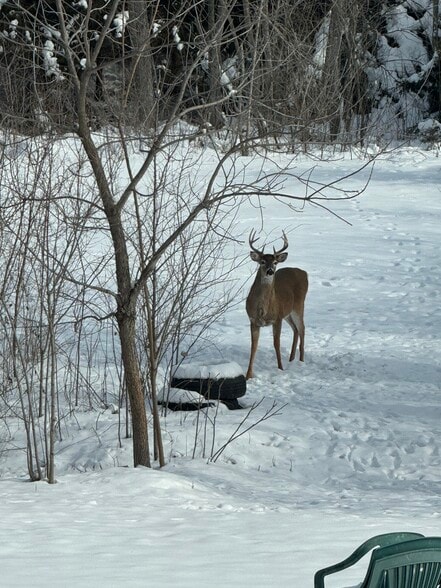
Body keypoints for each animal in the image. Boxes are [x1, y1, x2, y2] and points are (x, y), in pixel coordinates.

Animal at [244, 232, 310, 378]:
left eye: (275, 262)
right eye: (262, 262)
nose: (270, 271)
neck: (263, 309)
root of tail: (304, 273)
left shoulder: (277, 318)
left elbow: (276, 344)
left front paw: (280, 368)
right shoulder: (253, 320)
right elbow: (253, 346)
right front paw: (248, 374)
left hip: (299, 305)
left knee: (302, 328)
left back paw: (301, 360)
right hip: (287, 312)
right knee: (295, 329)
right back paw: (291, 358)